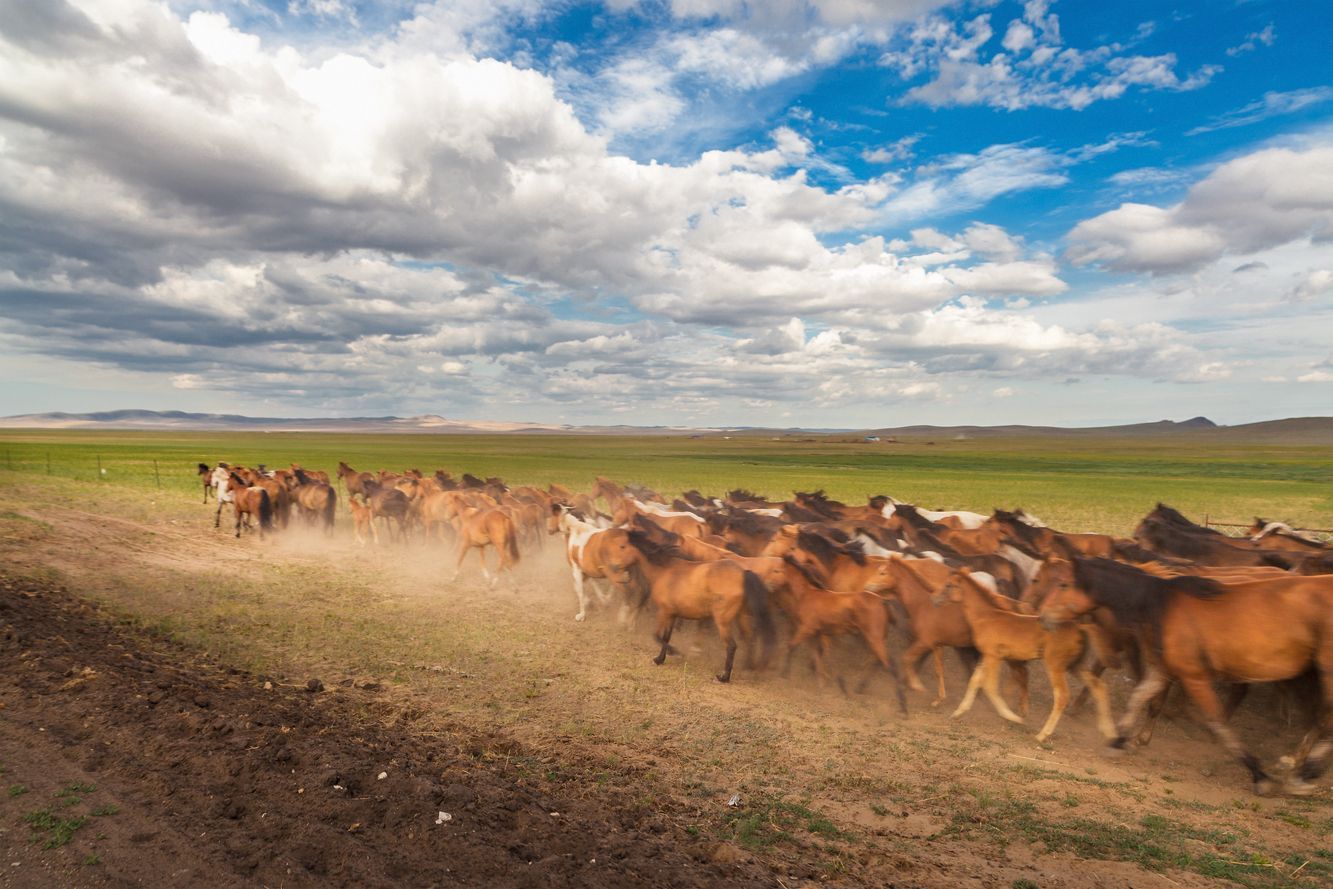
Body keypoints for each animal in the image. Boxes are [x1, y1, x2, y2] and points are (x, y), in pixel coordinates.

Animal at [626, 533, 778, 687]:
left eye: (622, 546)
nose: (621, 572)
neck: (664, 570)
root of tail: (743, 573)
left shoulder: (664, 612)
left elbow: (657, 635)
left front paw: (675, 652)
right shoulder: (672, 614)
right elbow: (665, 637)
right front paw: (660, 659)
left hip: (722, 620)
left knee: (731, 646)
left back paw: (723, 677)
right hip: (742, 616)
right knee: (749, 640)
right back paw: (748, 668)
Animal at [938, 570, 1114, 746]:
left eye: (949, 585)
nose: (936, 600)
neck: (986, 616)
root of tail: (1079, 627)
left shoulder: (993, 656)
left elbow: (989, 686)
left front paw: (1013, 717)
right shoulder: (987, 656)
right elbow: (975, 680)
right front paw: (958, 712)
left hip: (1054, 665)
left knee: (1062, 696)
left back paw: (1042, 735)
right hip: (1075, 665)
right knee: (1099, 686)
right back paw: (1108, 733)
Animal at [1039, 559, 1333, 794]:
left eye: (1063, 584)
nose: (1043, 616)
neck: (1159, 605)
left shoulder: (1194, 677)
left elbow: (1217, 722)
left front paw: (1260, 776)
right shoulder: (1162, 670)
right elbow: (1139, 698)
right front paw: (1119, 741)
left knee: (1324, 718)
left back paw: (1301, 773)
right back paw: (1298, 764)